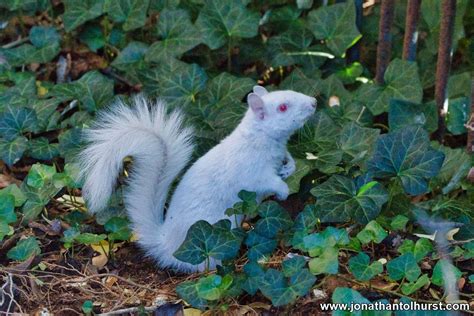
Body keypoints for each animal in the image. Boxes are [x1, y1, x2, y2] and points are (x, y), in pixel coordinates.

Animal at [79, 86, 316, 272]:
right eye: (283, 107)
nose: (314, 102)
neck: (260, 137)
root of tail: (166, 243)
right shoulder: (252, 171)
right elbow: (266, 182)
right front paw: (283, 190)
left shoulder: (279, 154)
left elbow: (288, 160)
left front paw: (289, 168)